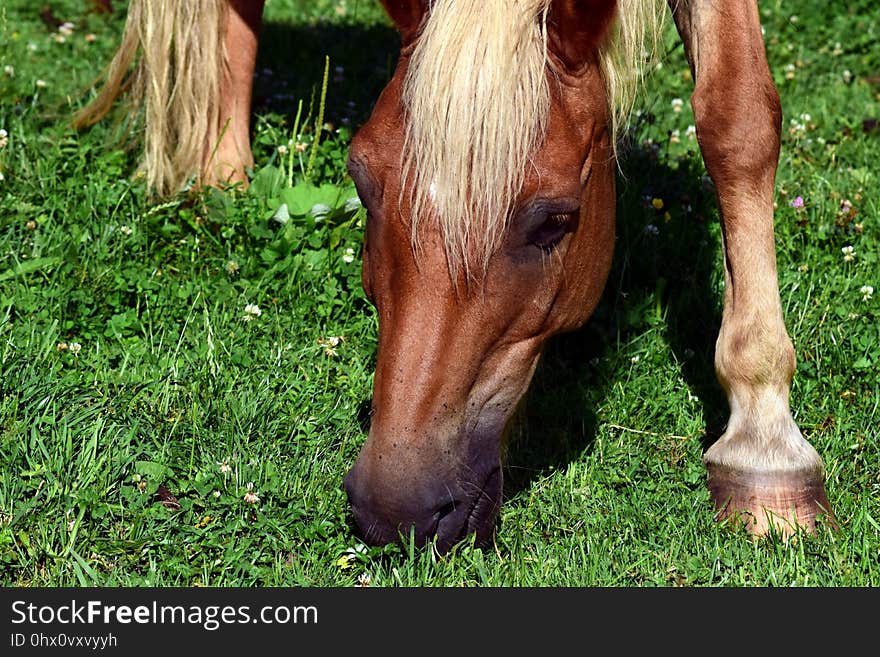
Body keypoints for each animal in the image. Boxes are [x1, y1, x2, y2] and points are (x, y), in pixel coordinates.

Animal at [75, 0, 832, 552]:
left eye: (555, 220)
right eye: (360, 180)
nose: (396, 509)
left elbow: (738, 117)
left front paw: (766, 446)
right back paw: (224, 181)